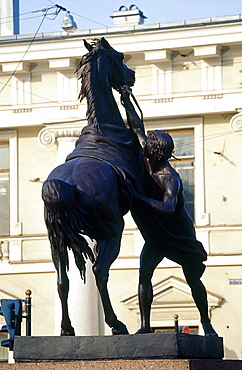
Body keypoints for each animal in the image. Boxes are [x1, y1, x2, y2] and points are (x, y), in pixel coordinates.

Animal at [42, 36, 146, 336]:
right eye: (119, 56)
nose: (131, 76)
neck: (104, 126)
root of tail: (59, 186)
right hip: (112, 232)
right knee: (100, 271)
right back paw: (116, 325)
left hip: (57, 241)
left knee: (62, 281)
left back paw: (67, 329)